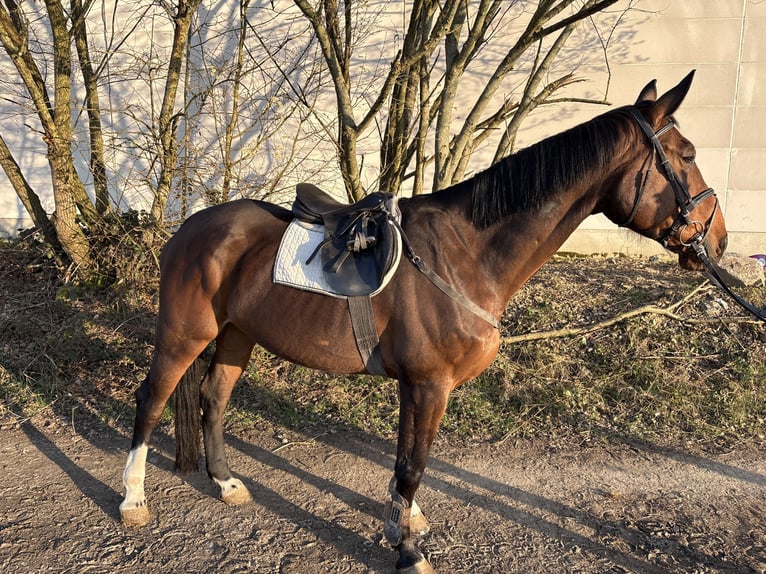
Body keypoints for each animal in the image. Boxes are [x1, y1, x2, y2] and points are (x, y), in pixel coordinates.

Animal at [119, 72, 728, 573]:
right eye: (688, 154)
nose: (716, 241)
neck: (468, 254)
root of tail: (188, 227)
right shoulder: (429, 385)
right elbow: (412, 465)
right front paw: (409, 550)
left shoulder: (422, 387)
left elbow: (406, 464)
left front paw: (404, 522)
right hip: (184, 334)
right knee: (151, 400)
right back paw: (132, 500)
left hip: (237, 335)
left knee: (213, 400)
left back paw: (225, 484)